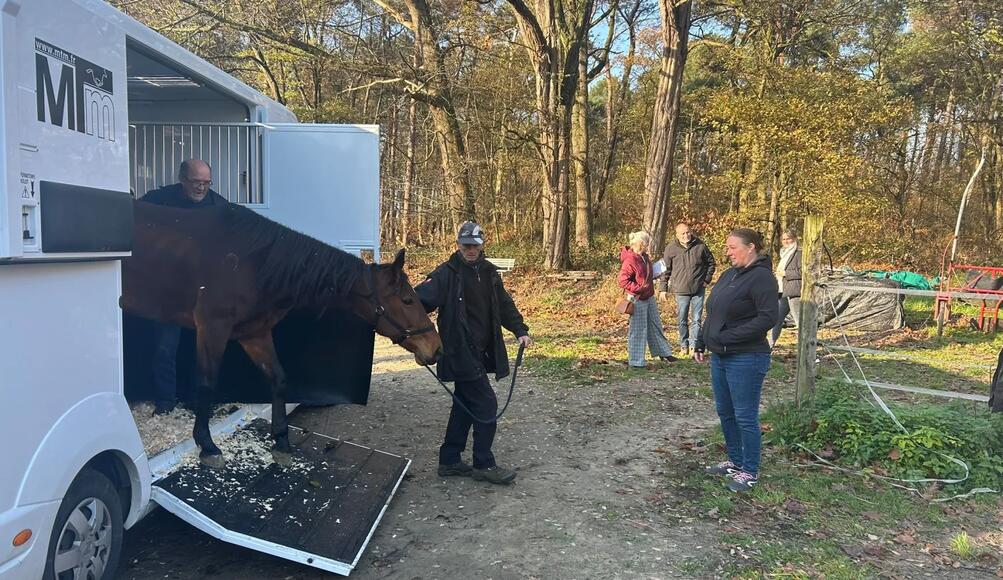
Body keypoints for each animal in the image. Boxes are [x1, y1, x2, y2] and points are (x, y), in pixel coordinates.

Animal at [120, 201, 442, 468]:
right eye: (407, 300)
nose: (436, 347)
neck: (251, 262)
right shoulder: (212, 329)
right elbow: (207, 384)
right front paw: (208, 446)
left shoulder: (255, 333)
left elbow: (279, 379)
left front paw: (282, 442)